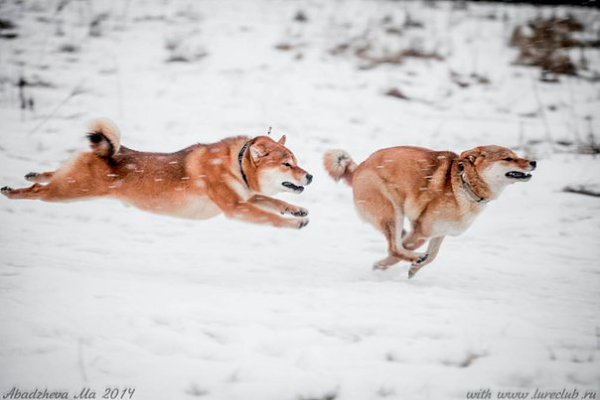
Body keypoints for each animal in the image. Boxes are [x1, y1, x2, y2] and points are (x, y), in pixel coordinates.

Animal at [1, 118, 313, 229]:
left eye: (296, 162)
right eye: (287, 164)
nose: (311, 176)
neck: (235, 165)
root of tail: (106, 151)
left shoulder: (246, 198)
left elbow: (274, 201)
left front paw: (295, 210)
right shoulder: (236, 207)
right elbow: (271, 217)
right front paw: (294, 223)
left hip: (71, 183)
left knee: (50, 174)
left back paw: (33, 174)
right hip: (70, 191)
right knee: (38, 193)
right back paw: (12, 192)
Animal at [324, 145, 536, 278]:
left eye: (517, 156)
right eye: (508, 158)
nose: (534, 162)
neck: (464, 183)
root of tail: (359, 168)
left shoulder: (439, 233)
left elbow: (433, 256)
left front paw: (414, 268)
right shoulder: (421, 231)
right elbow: (399, 252)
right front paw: (382, 266)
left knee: (397, 244)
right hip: (392, 212)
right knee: (394, 246)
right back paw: (408, 257)